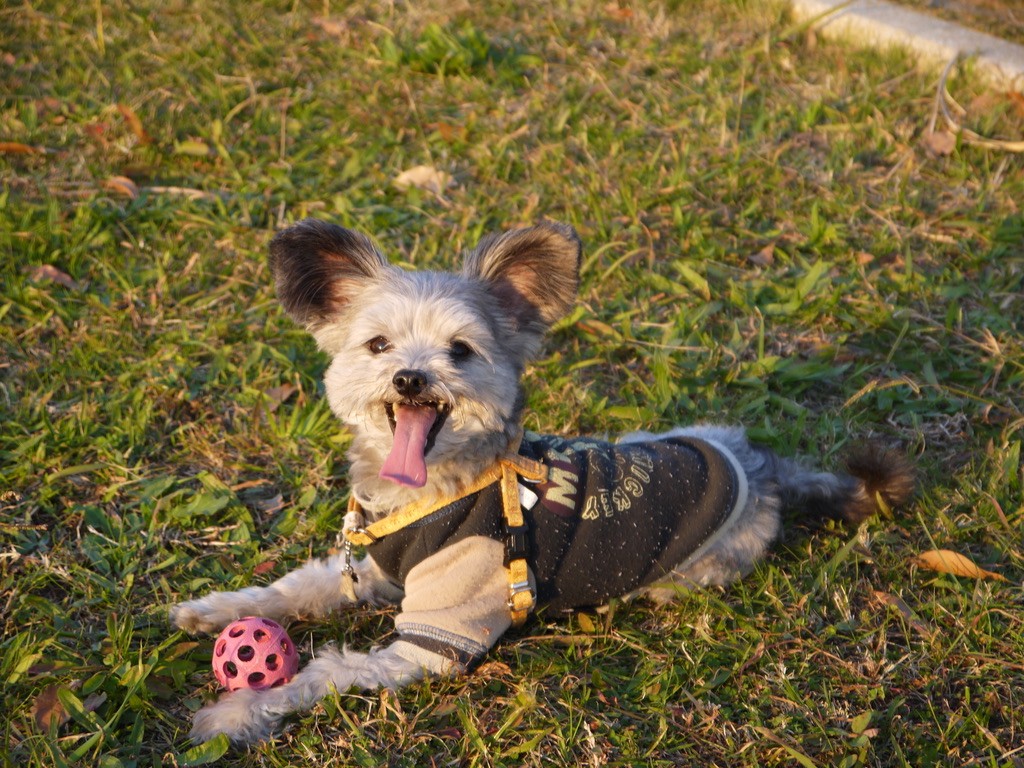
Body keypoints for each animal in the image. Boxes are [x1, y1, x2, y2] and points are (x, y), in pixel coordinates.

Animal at [170, 219, 914, 744]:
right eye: (378, 345)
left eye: (460, 351)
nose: (410, 377)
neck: (432, 492)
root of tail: (760, 463)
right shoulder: (371, 571)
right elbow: (293, 588)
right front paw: (216, 610)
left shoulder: (432, 642)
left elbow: (328, 668)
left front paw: (241, 710)